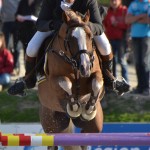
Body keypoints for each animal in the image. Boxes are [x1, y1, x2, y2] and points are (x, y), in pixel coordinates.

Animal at [37, 9, 105, 150]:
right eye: (70, 39)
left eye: (90, 36)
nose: (85, 67)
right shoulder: (54, 80)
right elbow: (65, 83)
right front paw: (74, 106)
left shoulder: (96, 73)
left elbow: (97, 83)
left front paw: (88, 108)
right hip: (52, 125)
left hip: (93, 125)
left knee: (86, 135)